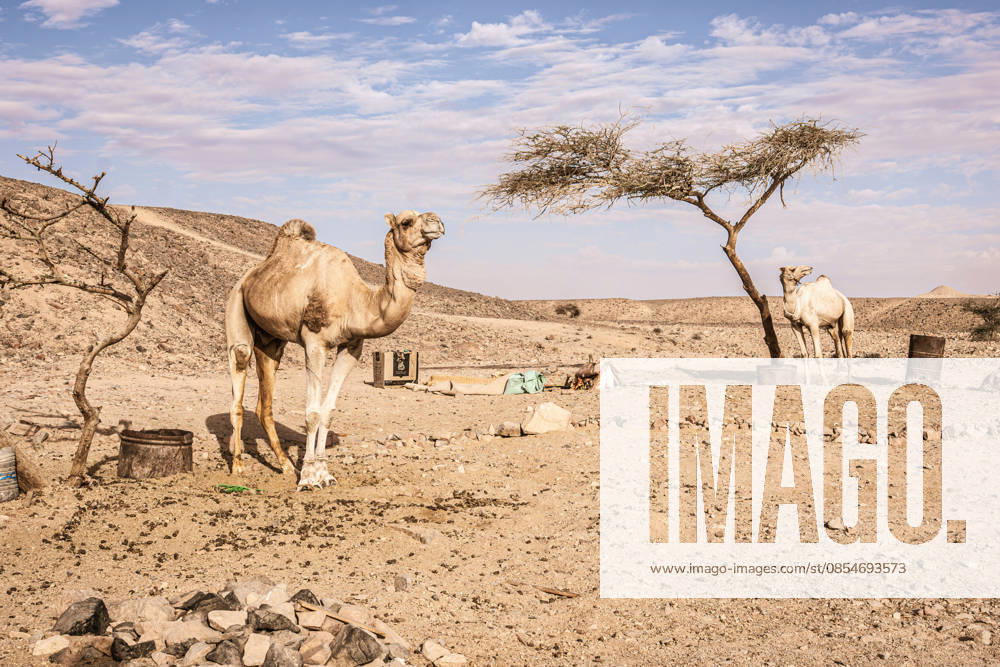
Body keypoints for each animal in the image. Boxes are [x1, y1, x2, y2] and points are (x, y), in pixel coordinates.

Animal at [225, 211, 445, 488]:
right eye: (406, 222)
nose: (437, 221)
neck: (357, 302)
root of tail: (251, 275)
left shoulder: (352, 347)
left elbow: (328, 411)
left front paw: (324, 473)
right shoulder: (314, 343)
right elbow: (312, 412)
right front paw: (308, 477)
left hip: (271, 340)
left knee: (265, 398)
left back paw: (285, 465)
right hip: (236, 302)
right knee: (240, 368)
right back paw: (238, 465)